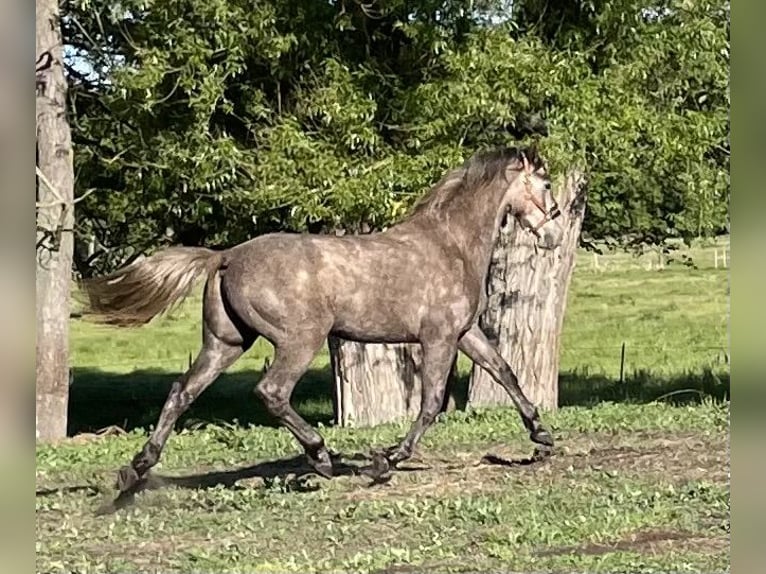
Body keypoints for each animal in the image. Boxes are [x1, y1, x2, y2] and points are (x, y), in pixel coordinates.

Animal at [83, 146, 564, 495]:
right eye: (546, 183)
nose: (555, 233)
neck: (451, 245)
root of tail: (226, 256)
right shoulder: (439, 338)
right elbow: (430, 404)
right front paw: (385, 461)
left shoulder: (465, 333)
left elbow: (504, 371)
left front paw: (542, 437)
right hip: (301, 339)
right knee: (272, 392)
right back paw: (320, 456)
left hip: (226, 343)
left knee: (182, 391)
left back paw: (137, 468)